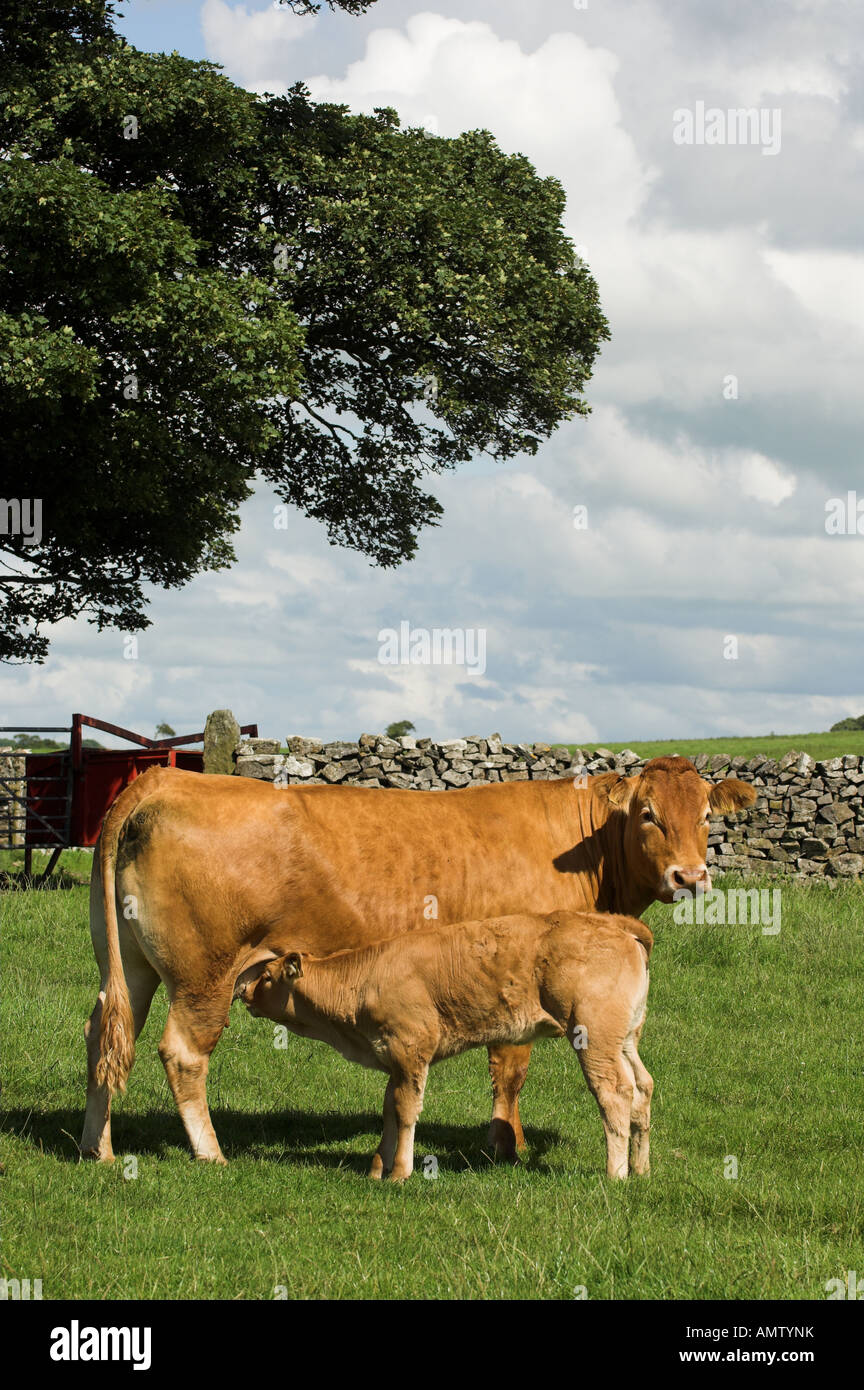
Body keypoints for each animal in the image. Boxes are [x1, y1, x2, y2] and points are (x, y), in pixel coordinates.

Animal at [240, 910, 654, 1182]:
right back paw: (641, 1168)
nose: (242, 990)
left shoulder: (411, 1050)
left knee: (615, 1091)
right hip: (625, 1039)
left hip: (594, 1036)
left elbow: (406, 1111)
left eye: (267, 976)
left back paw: (616, 1173)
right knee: (643, 1087)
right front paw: (377, 1168)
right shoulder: (394, 1058)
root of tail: (616, 923)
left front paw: (400, 1173)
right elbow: (389, 1110)